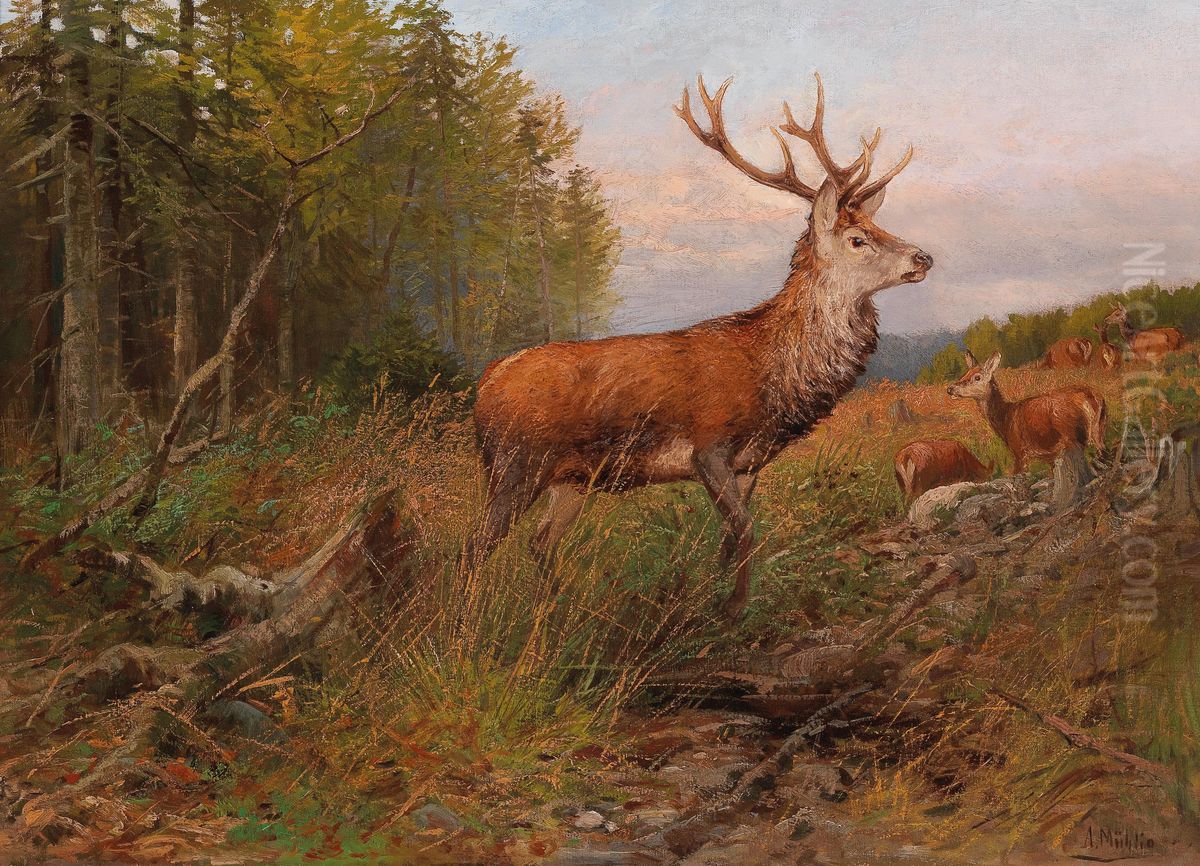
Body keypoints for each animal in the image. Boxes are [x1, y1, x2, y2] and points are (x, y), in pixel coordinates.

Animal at [466, 74, 932, 620]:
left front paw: (707, 600)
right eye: (859, 238)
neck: (772, 373)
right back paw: (469, 618)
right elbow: (745, 530)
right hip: (515, 463)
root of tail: (487, 380)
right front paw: (732, 610)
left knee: (539, 541)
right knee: (477, 545)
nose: (923, 257)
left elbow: (731, 536)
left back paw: (559, 609)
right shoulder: (709, 445)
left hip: (571, 477)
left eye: (880, 226)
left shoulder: (751, 463)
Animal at [946, 350, 1106, 474]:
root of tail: (1092, 396)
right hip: (1099, 429)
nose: (950, 388)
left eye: (977, 377)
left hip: (1073, 435)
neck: (1005, 419)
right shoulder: (1050, 456)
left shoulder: (1020, 451)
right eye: (965, 373)